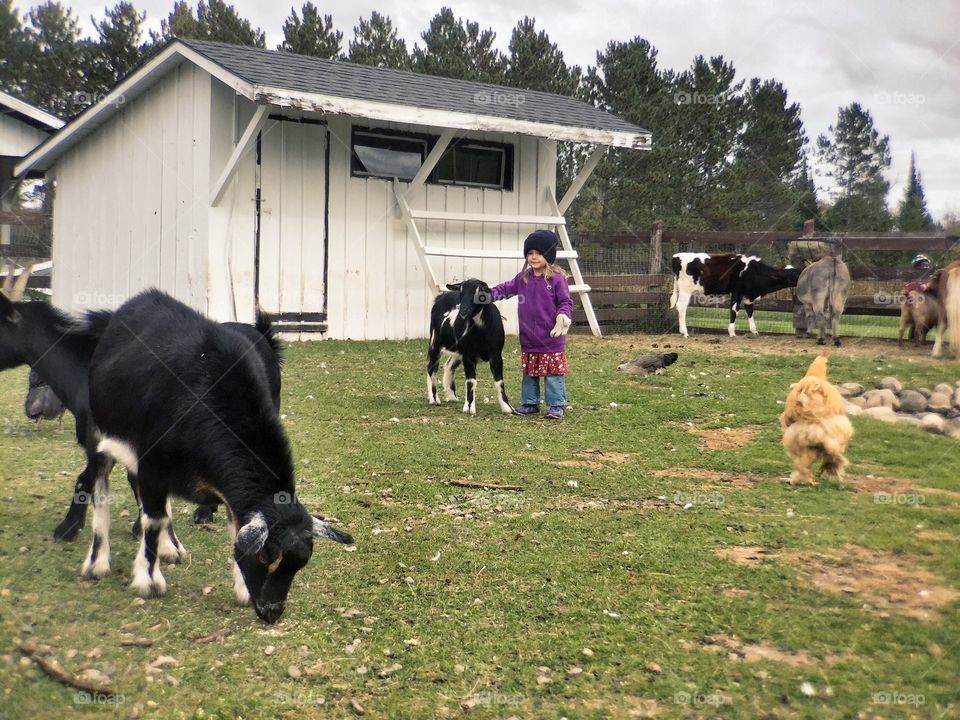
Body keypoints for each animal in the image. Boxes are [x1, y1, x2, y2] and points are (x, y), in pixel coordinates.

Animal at [85, 289, 349, 623]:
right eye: (266, 556)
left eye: (301, 563)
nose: (272, 612)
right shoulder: (151, 465)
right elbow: (153, 519)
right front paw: (149, 581)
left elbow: (231, 525)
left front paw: (241, 588)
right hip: (98, 433)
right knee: (101, 492)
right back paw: (97, 563)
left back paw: (170, 548)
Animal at [427, 279, 513, 415]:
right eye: (461, 292)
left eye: (480, 293)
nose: (463, 310)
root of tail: (441, 296)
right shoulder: (468, 355)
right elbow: (471, 381)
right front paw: (469, 407)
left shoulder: (496, 354)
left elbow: (499, 381)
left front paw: (507, 407)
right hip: (435, 342)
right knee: (431, 368)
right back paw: (434, 399)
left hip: (457, 349)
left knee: (449, 365)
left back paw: (451, 396)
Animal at [670, 253, 801, 337]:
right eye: (794, 274)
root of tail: (677, 256)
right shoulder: (737, 292)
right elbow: (734, 311)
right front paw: (732, 332)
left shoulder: (748, 296)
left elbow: (750, 311)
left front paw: (754, 331)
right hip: (685, 291)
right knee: (681, 307)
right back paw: (685, 332)